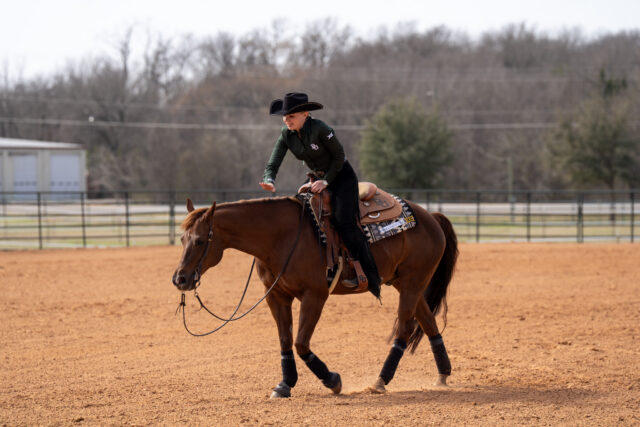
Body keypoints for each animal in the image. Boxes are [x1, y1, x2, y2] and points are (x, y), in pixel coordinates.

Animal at [172, 194, 458, 398]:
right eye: (182, 239)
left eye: (199, 240)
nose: (180, 279)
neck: (281, 237)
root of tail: (430, 217)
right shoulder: (276, 295)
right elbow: (285, 340)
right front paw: (285, 384)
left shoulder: (315, 296)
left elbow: (300, 342)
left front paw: (332, 380)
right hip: (406, 284)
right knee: (428, 323)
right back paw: (442, 375)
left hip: (412, 283)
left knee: (405, 328)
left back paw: (380, 381)